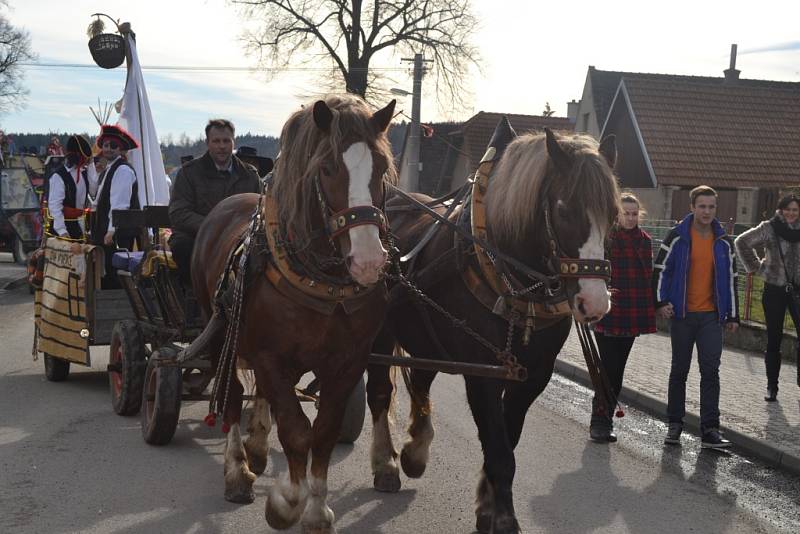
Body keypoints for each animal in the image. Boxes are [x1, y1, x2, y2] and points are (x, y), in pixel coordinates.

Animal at [191, 94, 396, 532]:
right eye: (327, 168)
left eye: (381, 167)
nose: (369, 261)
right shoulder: (270, 355)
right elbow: (297, 431)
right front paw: (287, 502)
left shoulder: (347, 361)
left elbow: (323, 432)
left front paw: (316, 510)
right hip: (218, 331)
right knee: (231, 397)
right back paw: (238, 470)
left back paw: (255, 446)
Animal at [368, 126, 620, 534]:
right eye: (564, 210)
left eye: (614, 214)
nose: (595, 302)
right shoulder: (483, 373)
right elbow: (499, 449)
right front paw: (503, 518)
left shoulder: (534, 375)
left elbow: (506, 439)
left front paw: (488, 508)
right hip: (379, 333)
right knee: (378, 393)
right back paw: (385, 464)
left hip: (427, 336)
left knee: (420, 383)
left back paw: (415, 452)